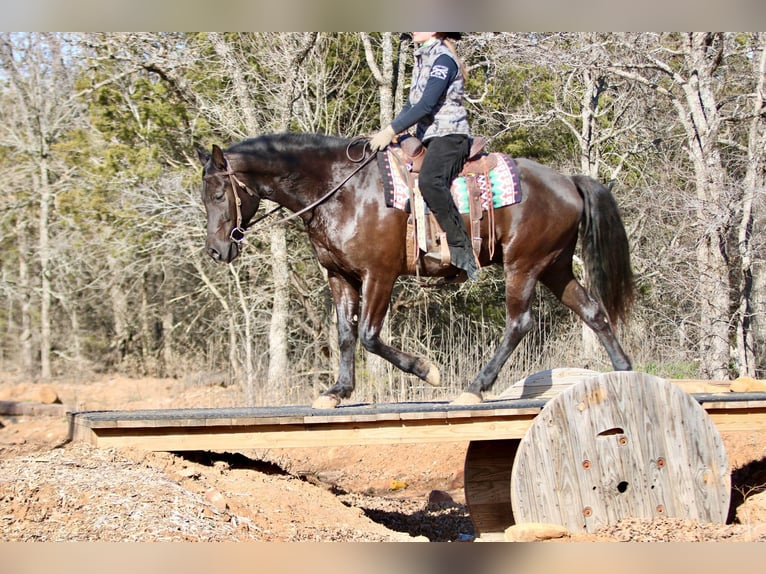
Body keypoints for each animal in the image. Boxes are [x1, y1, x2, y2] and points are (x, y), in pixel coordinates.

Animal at [200, 134, 636, 410]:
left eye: (219, 194)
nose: (216, 250)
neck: (342, 190)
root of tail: (569, 182)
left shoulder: (379, 274)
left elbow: (369, 336)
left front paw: (427, 371)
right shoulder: (340, 276)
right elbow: (345, 336)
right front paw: (338, 391)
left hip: (523, 265)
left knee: (519, 322)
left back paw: (475, 388)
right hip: (554, 266)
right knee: (593, 311)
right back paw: (624, 372)